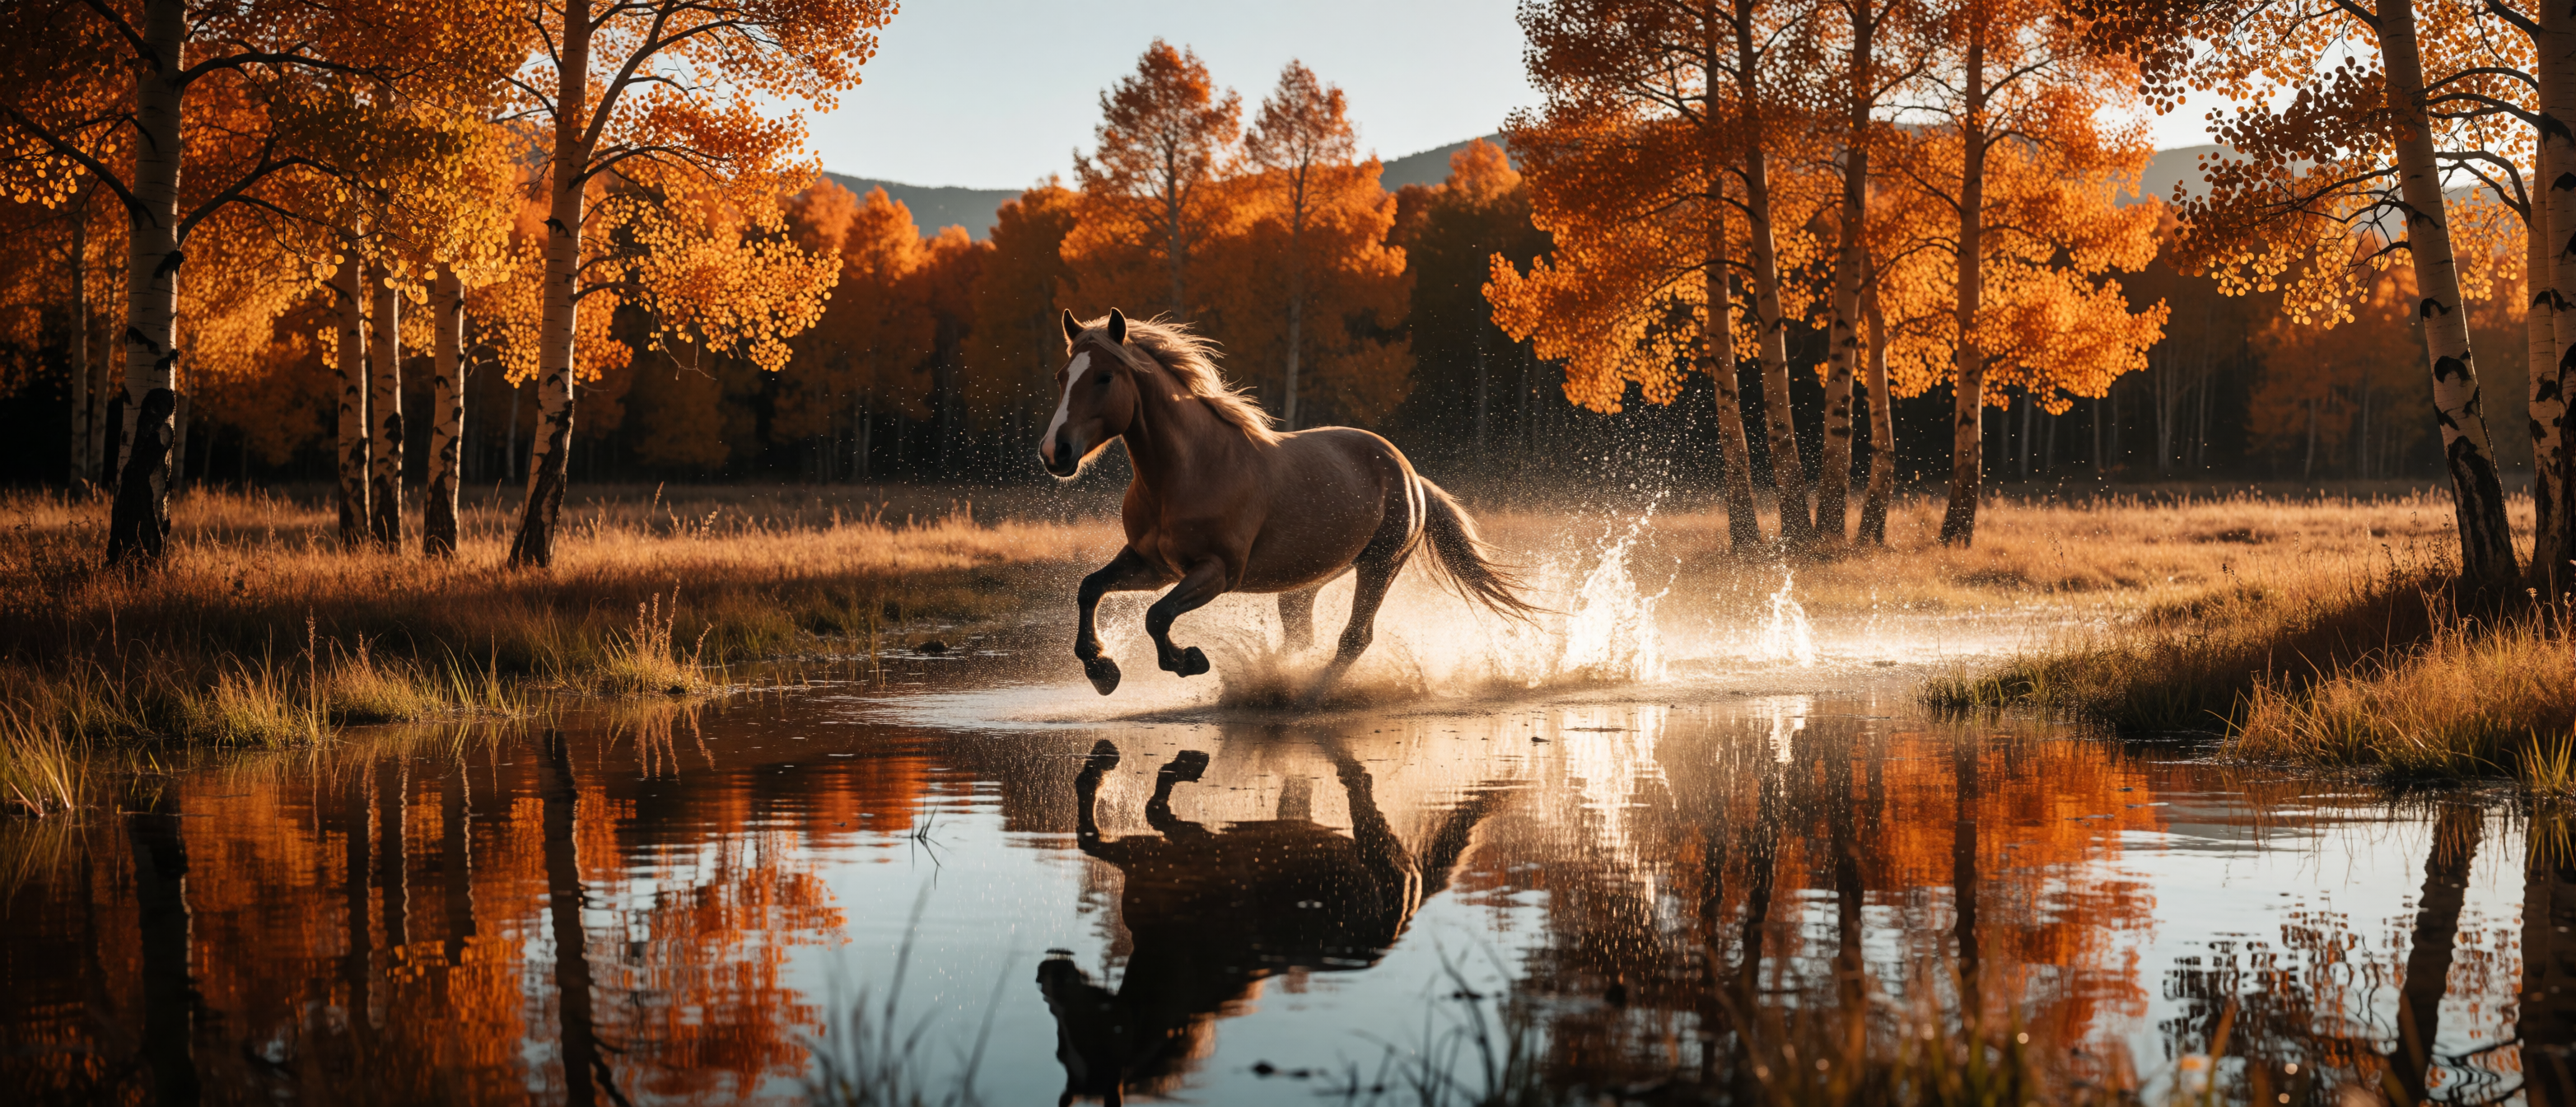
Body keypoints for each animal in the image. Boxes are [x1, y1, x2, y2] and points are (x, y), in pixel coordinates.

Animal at [1040, 308, 1536, 697]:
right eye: (1062, 377)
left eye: (1105, 377)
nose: (1054, 452)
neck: (1190, 471)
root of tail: (1410, 474)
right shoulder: (1154, 565)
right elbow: (1090, 588)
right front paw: (1101, 668)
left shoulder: (1216, 571)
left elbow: (1157, 616)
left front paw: (1189, 661)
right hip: (1309, 579)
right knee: (1303, 638)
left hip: (1381, 564)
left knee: (1355, 637)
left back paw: (1309, 694)